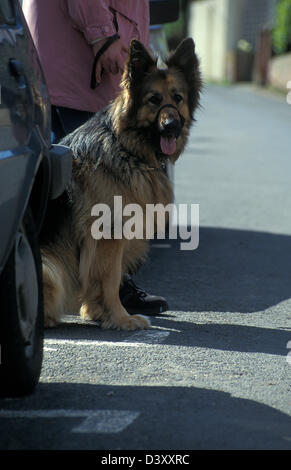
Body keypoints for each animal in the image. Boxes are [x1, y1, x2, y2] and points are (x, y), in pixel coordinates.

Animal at [42, 37, 203, 330]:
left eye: (178, 98)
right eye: (153, 100)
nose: (171, 126)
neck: (127, 148)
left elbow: (105, 280)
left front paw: (97, 313)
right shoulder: (108, 234)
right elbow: (109, 279)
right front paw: (120, 318)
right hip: (49, 267)